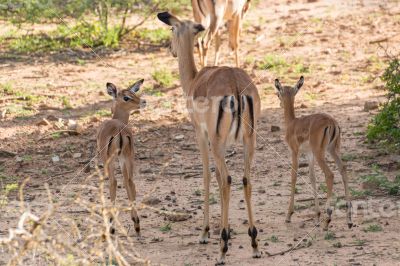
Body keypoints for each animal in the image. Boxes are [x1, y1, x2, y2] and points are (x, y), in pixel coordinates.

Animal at [96, 79, 146, 235]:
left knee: (113, 182)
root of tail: (119, 130)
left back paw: (111, 226)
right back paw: (136, 223)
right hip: (128, 157)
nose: (143, 102)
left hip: (111, 160)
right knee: (129, 181)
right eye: (127, 97)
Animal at [158, 11, 260, 264]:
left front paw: (205, 233)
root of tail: (235, 86)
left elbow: (206, 176)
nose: (170, 49)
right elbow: (217, 177)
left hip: (217, 143)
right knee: (245, 179)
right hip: (248, 142)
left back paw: (222, 249)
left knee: (228, 180)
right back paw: (254, 243)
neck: (195, 80)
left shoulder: (201, 135)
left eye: (172, 29)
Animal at [276, 76, 354, 230]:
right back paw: (348, 220)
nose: (280, 104)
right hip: (333, 150)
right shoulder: (309, 154)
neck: (292, 123)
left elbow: (293, 176)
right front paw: (317, 216)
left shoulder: (295, 152)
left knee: (330, 174)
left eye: (278, 94)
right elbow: (312, 178)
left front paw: (289, 215)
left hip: (320, 154)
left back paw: (327, 220)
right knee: (343, 169)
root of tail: (332, 122)